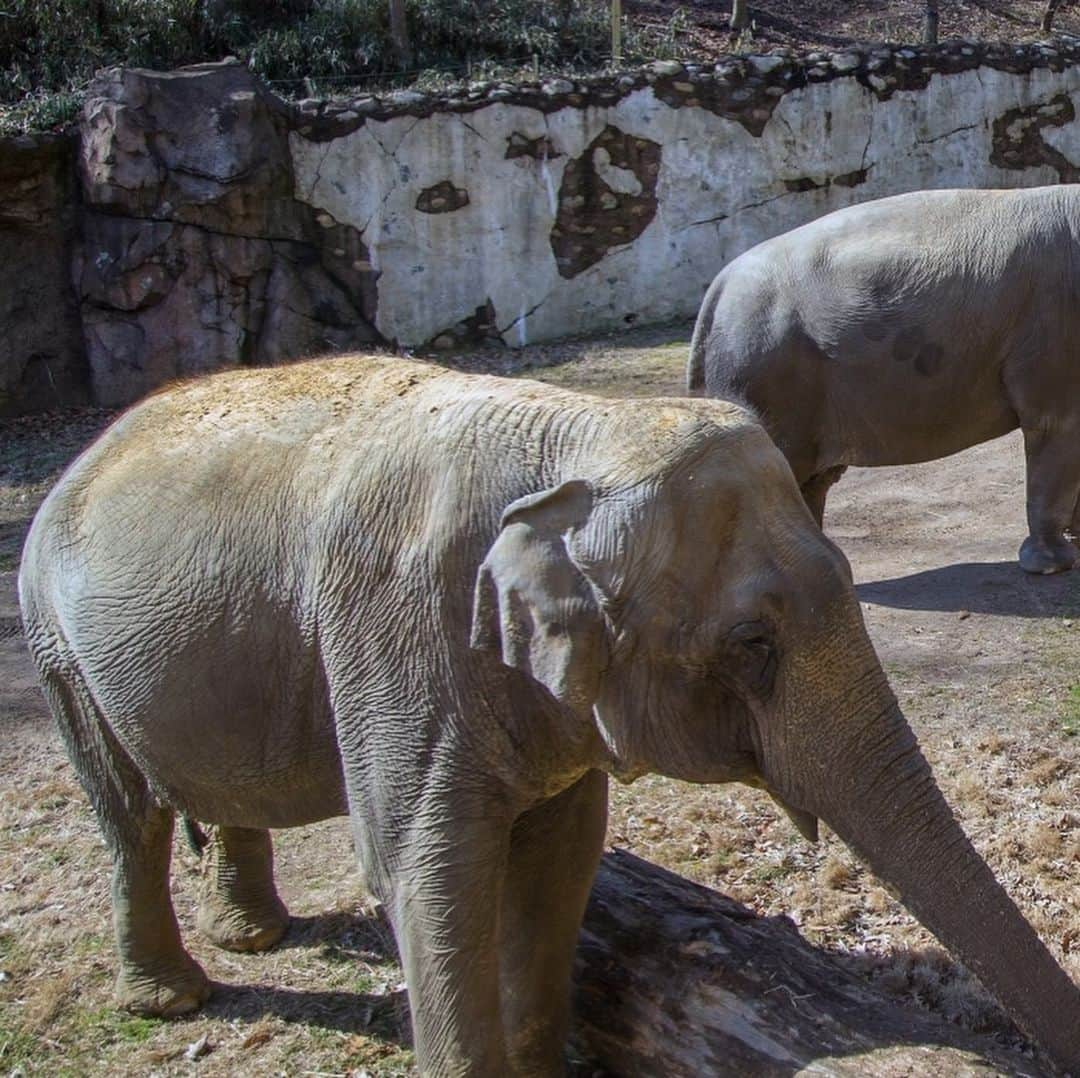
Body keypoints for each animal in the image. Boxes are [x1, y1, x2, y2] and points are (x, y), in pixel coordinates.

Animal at [14, 356, 1080, 1078]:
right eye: (751, 644)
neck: (576, 438)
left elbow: (560, 857)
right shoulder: (400, 638)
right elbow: (426, 867)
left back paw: (255, 936)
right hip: (54, 643)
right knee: (129, 816)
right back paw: (174, 996)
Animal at [691, 182, 1080, 578]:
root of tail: (717, 290)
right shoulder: (1054, 332)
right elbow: (1055, 425)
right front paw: (1055, 565)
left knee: (813, 481)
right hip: (764, 369)